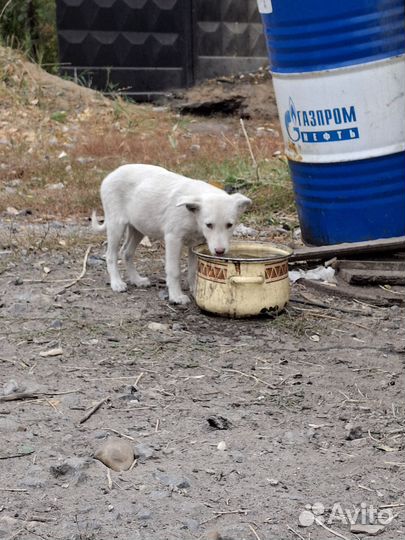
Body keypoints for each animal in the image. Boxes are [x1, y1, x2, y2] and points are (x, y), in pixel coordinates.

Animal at [92, 165, 249, 304]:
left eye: (229, 225)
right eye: (209, 225)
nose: (220, 251)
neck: (193, 216)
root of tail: (111, 174)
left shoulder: (196, 244)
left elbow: (193, 270)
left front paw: (195, 290)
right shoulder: (173, 239)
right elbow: (174, 271)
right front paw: (176, 296)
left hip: (138, 228)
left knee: (126, 252)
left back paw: (137, 280)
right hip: (116, 225)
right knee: (111, 255)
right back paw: (117, 283)